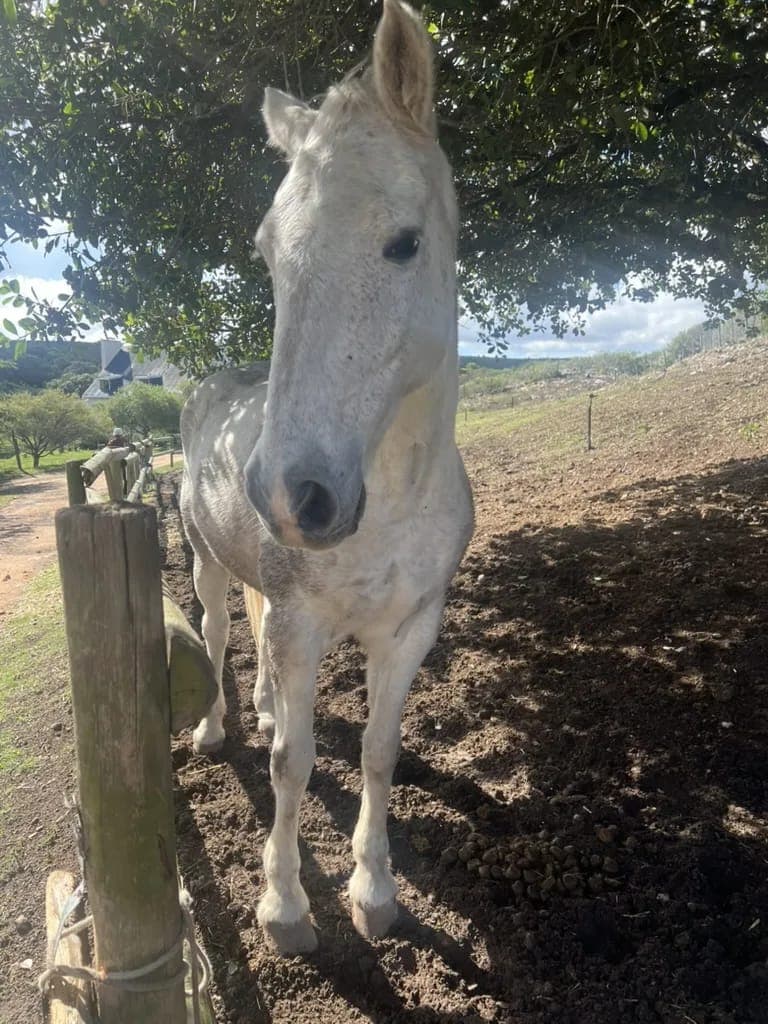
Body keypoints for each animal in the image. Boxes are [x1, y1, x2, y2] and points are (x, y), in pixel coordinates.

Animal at [180, 0, 474, 955]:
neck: (394, 502)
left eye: (403, 243)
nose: (289, 494)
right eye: (269, 254)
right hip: (208, 563)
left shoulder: (411, 628)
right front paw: (284, 906)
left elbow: (379, 753)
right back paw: (216, 726)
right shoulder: (301, 622)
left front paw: (375, 890)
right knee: (217, 631)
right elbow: (292, 764)